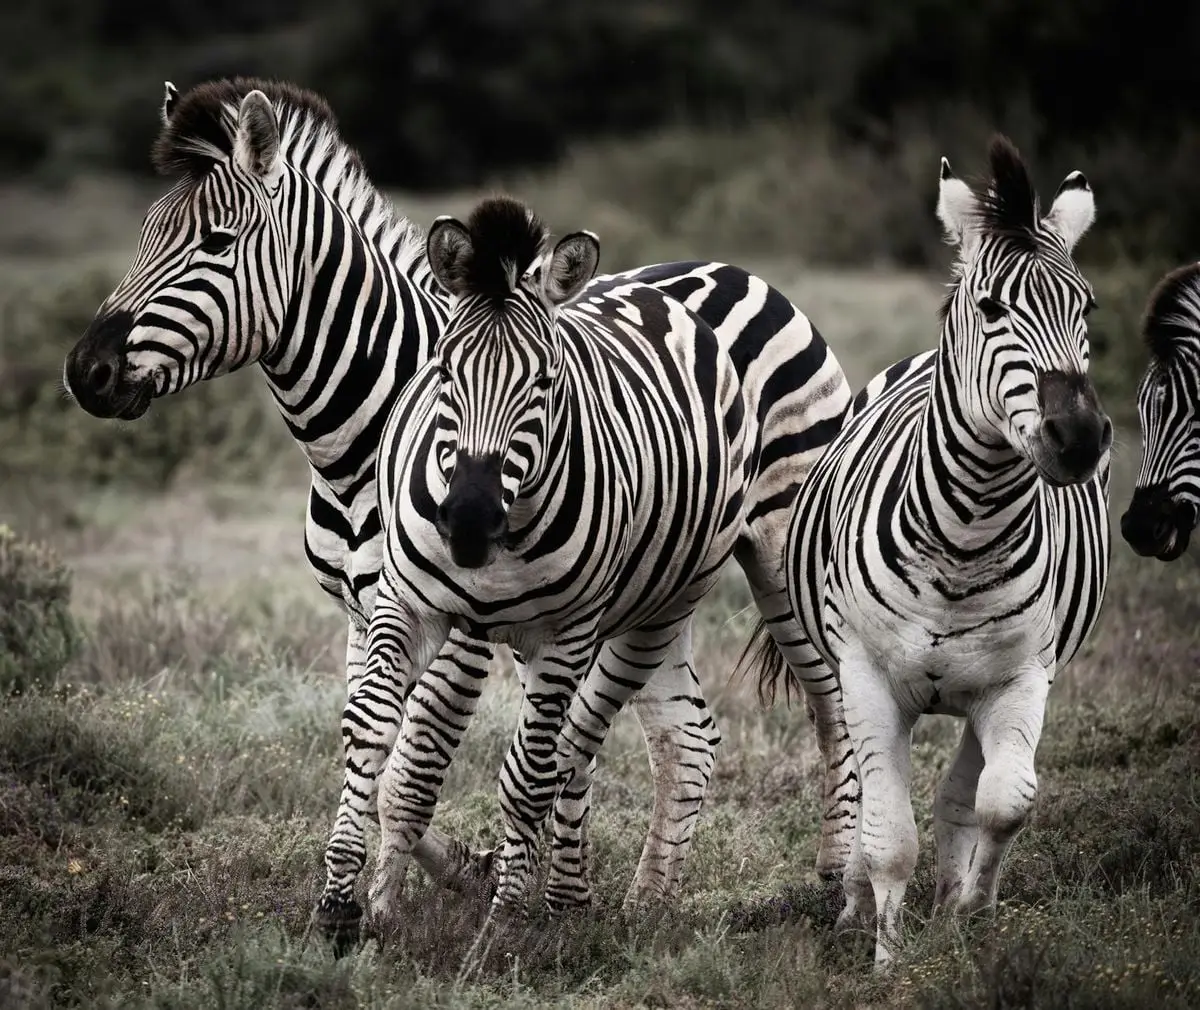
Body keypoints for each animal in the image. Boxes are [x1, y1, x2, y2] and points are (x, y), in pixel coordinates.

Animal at [59, 78, 858, 938]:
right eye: (145, 234)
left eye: (216, 242)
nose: (85, 371)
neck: (358, 440)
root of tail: (738, 269)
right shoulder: (367, 610)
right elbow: (374, 753)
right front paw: (444, 880)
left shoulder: (463, 631)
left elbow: (415, 765)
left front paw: (442, 887)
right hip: (660, 585)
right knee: (689, 734)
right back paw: (643, 906)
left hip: (783, 556)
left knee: (831, 701)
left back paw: (838, 889)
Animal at [740, 135, 1112, 966]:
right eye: (990, 308)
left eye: (1087, 308)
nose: (1078, 438)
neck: (966, 538)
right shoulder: (867, 678)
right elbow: (887, 838)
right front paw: (886, 958)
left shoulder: (1023, 679)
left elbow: (1003, 805)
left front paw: (971, 917)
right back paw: (854, 906)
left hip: (992, 689)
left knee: (962, 794)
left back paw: (952, 903)